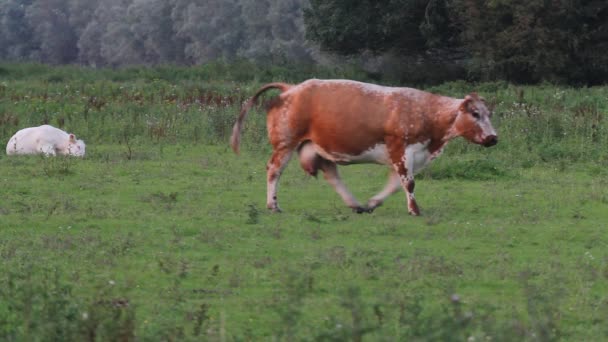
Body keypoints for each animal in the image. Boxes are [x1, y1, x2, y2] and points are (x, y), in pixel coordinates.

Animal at [230, 79, 496, 215]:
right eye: (475, 113)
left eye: (488, 113)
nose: (493, 138)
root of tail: (292, 88)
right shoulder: (401, 148)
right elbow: (407, 183)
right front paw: (414, 209)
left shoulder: (411, 155)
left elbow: (395, 184)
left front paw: (374, 203)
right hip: (286, 144)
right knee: (274, 170)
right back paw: (273, 204)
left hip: (317, 146)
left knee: (332, 174)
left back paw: (355, 204)